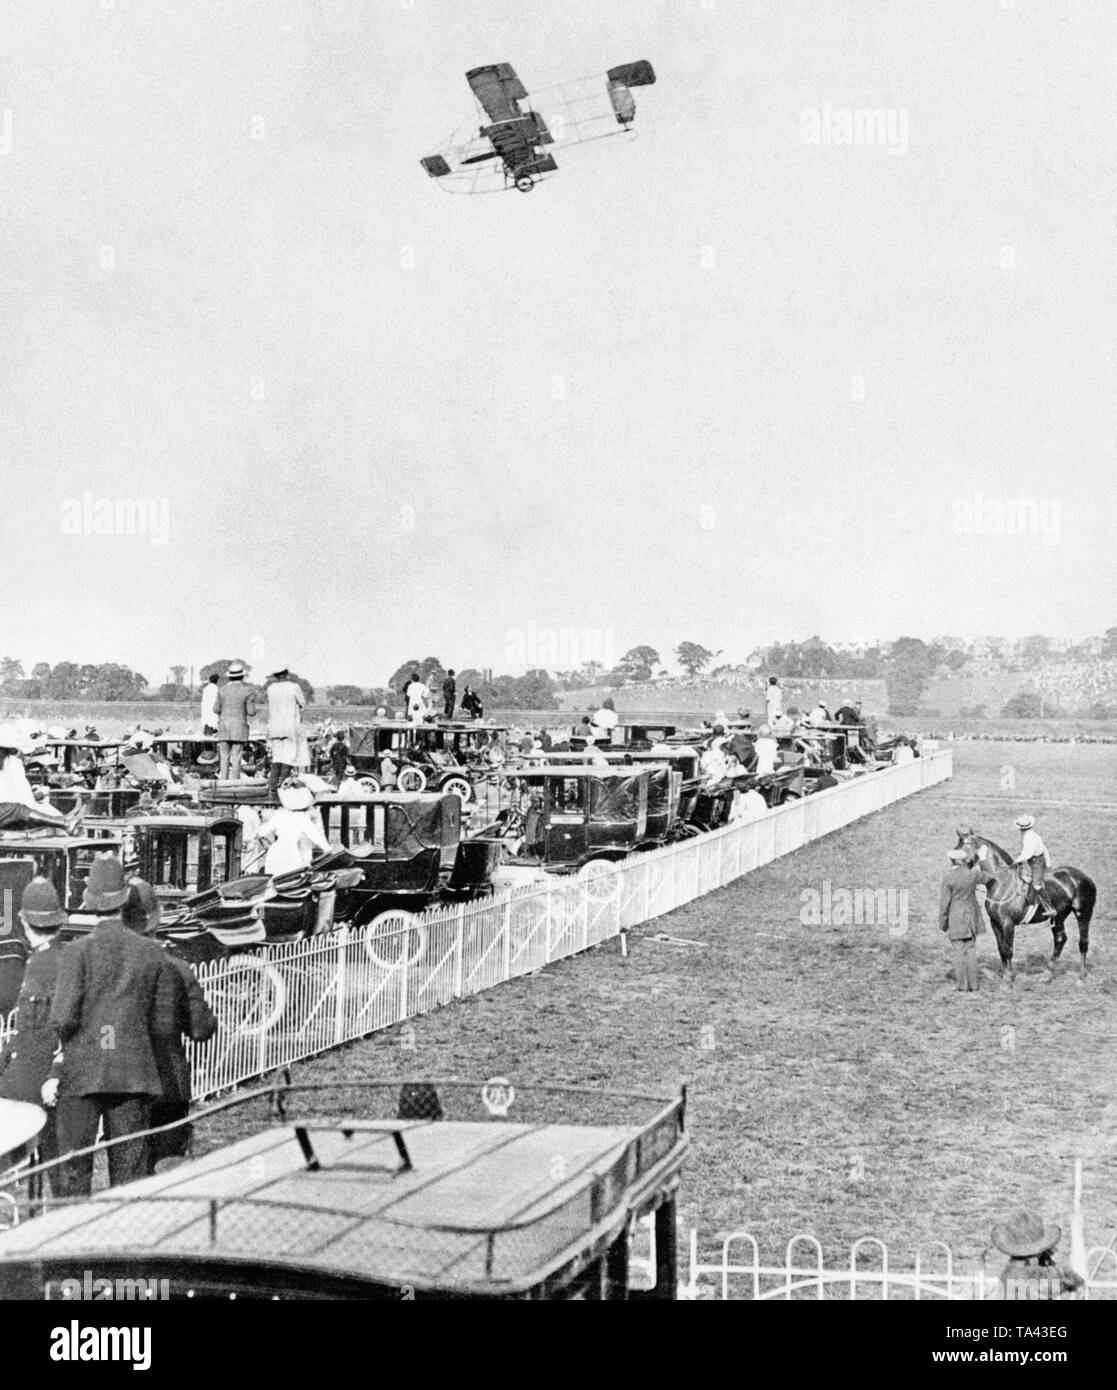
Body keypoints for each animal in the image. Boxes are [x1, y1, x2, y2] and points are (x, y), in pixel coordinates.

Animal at [955, 828, 1094, 984]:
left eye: (963, 845)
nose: (953, 862)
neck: (1001, 882)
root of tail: (1085, 878)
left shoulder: (1008, 923)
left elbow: (1009, 950)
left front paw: (1009, 977)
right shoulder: (995, 923)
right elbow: (1001, 949)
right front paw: (1005, 974)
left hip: (1083, 914)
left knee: (1083, 942)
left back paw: (1081, 976)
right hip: (1059, 917)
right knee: (1060, 939)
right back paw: (1048, 974)